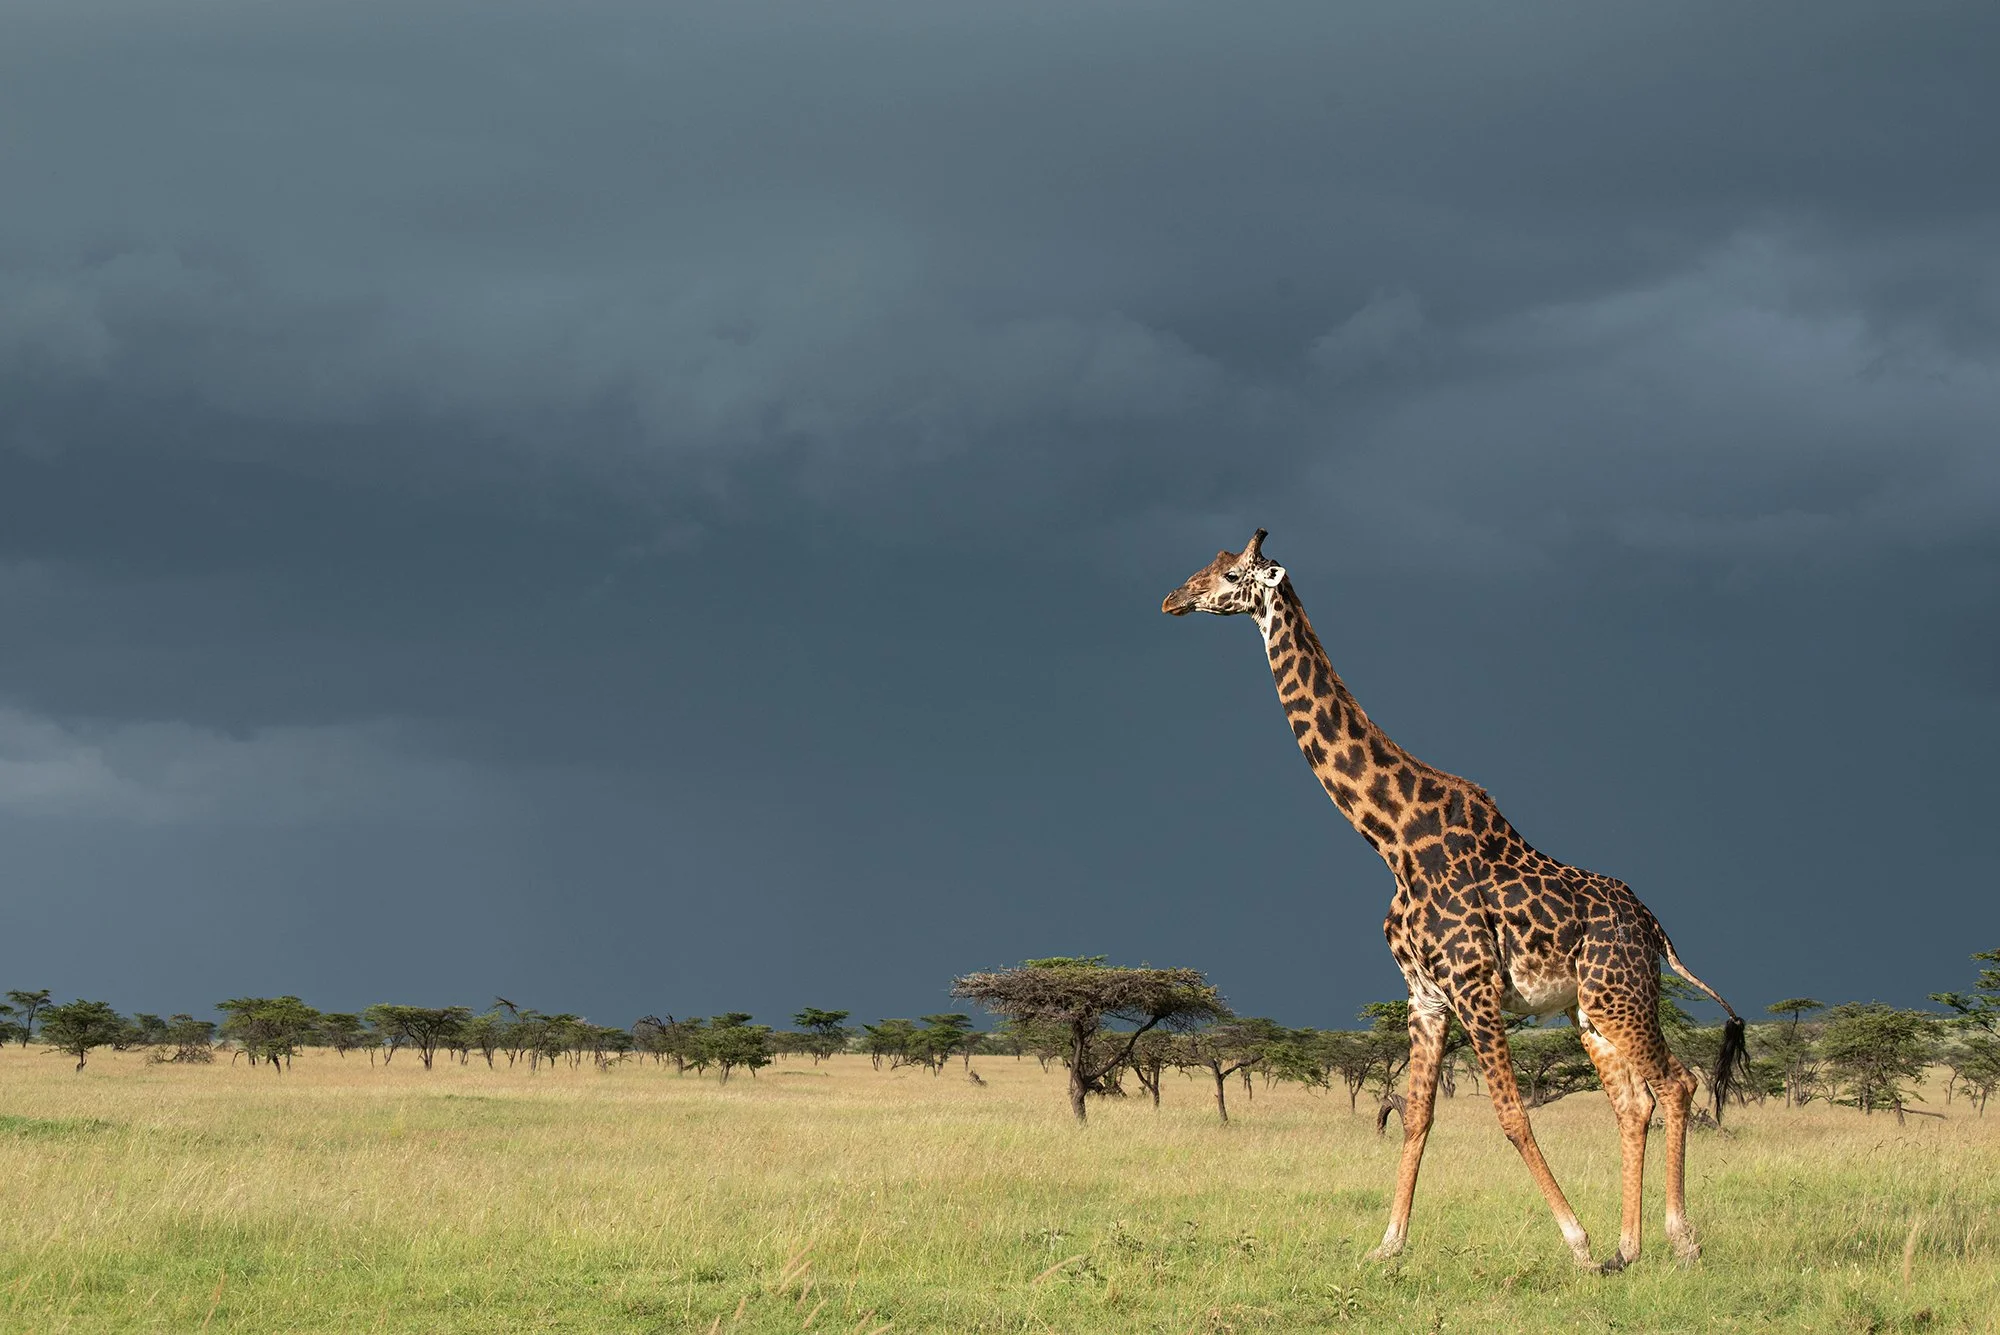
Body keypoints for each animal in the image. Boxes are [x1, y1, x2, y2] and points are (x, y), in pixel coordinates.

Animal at [1162, 530, 1747, 1272]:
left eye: (1231, 574)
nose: (1172, 599)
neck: (1393, 839)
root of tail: (1656, 927)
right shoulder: (1425, 995)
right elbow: (1417, 1115)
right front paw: (1387, 1244)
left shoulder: (1474, 985)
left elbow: (1511, 1114)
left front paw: (1576, 1242)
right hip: (1589, 1009)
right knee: (1633, 1101)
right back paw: (1628, 1246)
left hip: (1623, 994)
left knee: (1677, 1084)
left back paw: (1678, 1239)